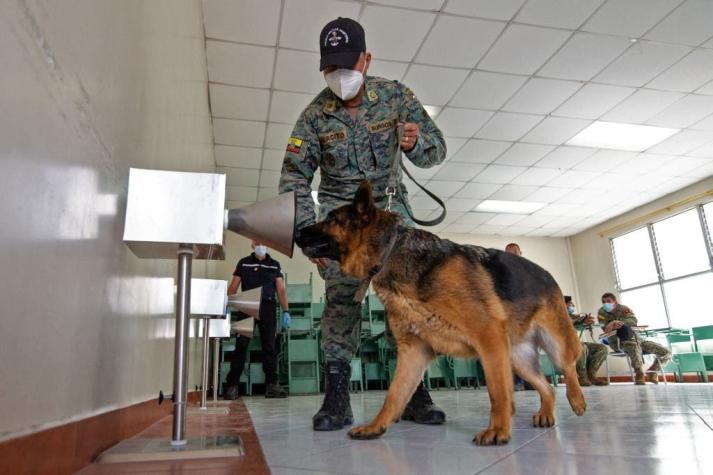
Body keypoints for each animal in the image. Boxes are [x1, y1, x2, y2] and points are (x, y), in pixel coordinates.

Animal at [294, 182, 584, 446]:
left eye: (331, 219)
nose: (297, 231)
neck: (391, 251)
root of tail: (547, 273)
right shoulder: (413, 352)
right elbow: (394, 395)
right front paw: (376, 426)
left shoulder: (488, 339)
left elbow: (497, 392)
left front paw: (498, 430)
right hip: (516, 358)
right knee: (547, 387)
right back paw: (546, 413)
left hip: (552, 345)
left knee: (568, 366)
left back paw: (577, 399)